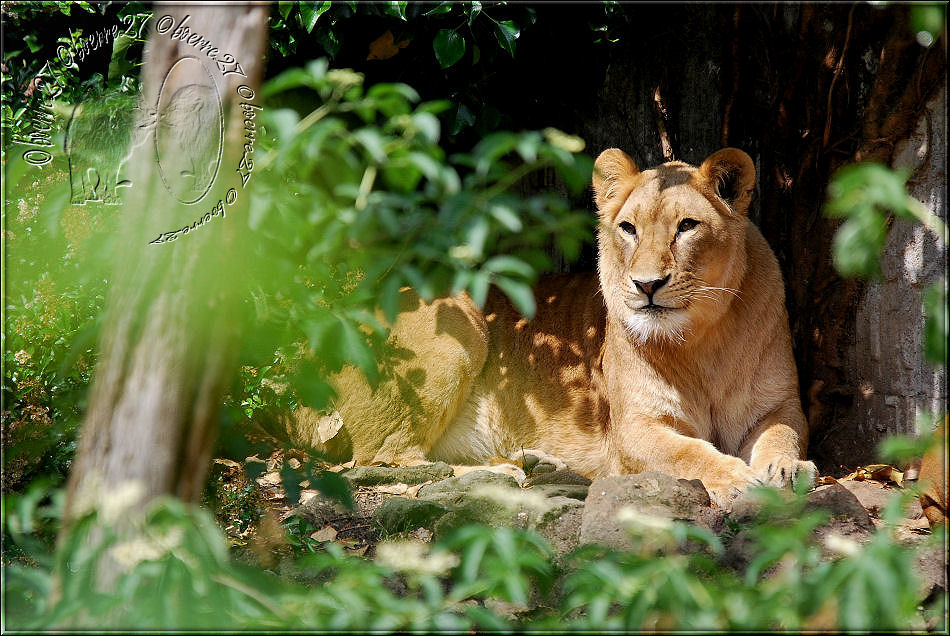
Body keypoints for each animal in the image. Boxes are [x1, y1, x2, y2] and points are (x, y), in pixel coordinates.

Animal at [288, 147, 820, 504]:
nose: (647, 285)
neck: (703, 338)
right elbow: (689, 455)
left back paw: (539, 464)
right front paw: (737, 479)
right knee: (388, 461)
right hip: (457, 323)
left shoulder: (778, 406)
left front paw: (788, 468)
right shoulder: (635, 428)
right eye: (628, 228)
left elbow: (784, 435)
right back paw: (511, 472)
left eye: (687, 226)